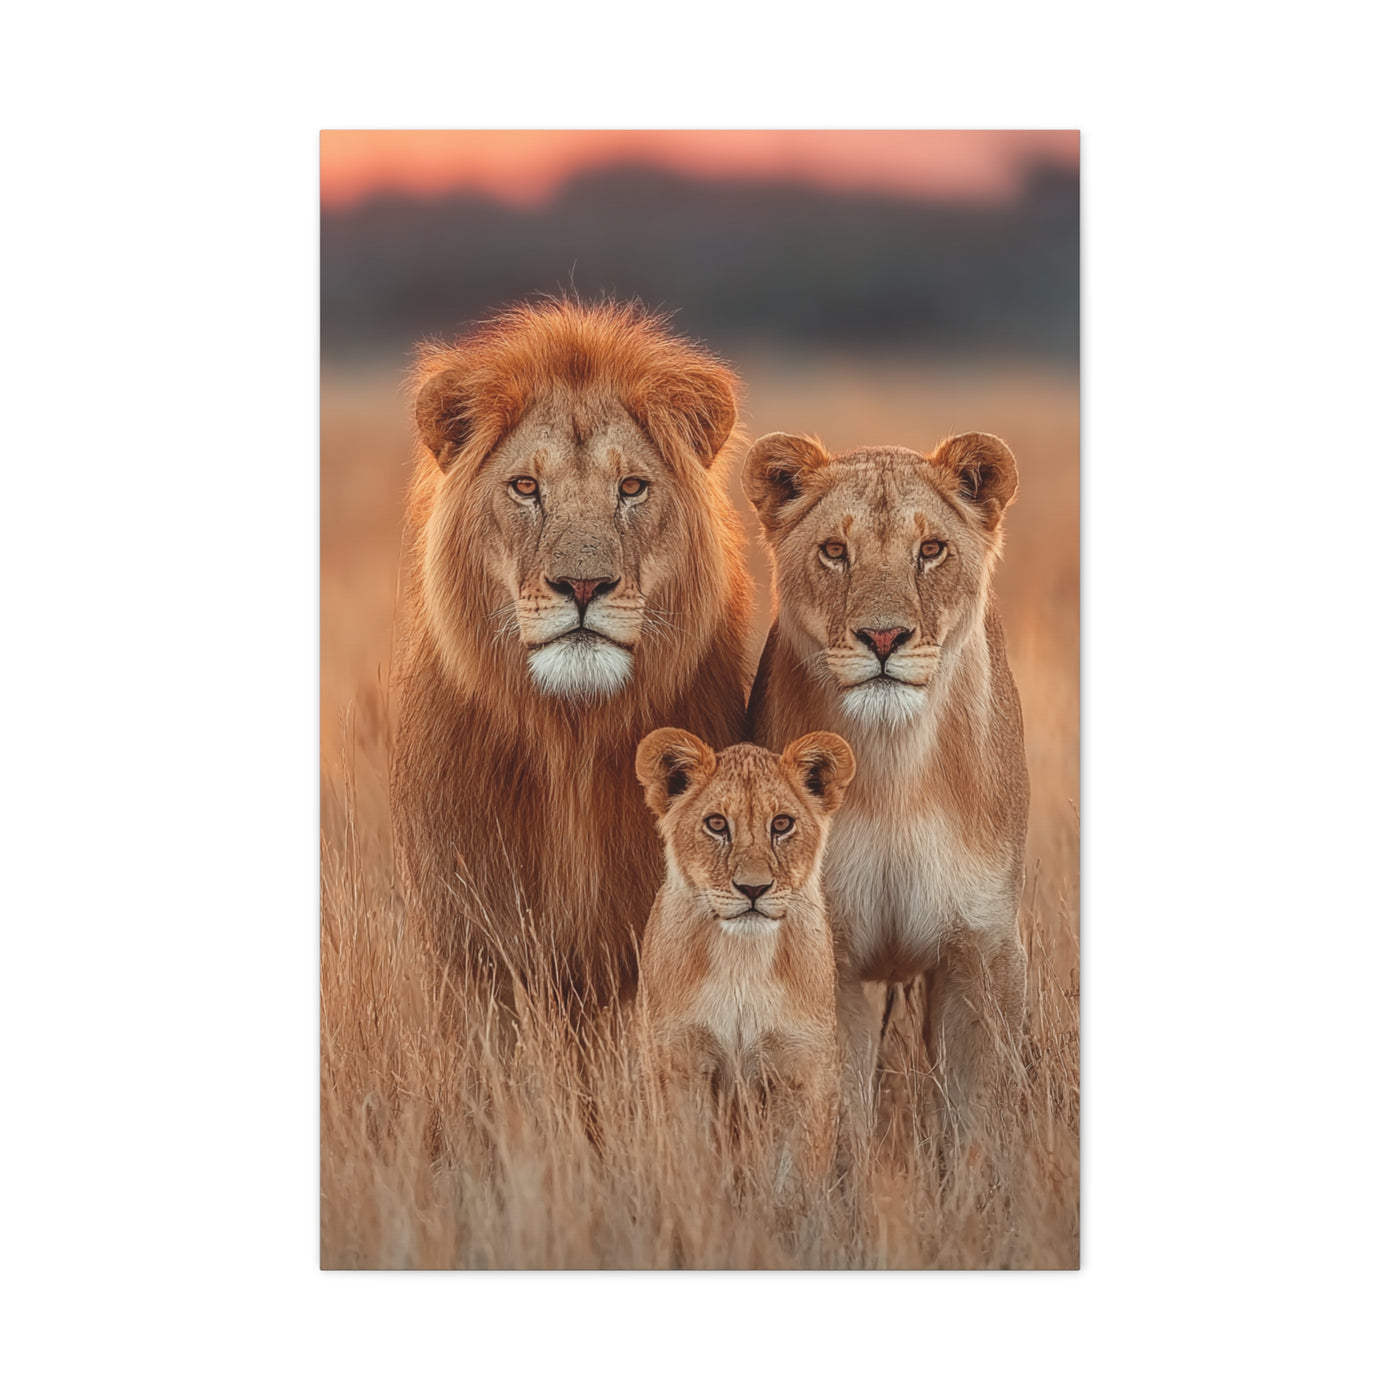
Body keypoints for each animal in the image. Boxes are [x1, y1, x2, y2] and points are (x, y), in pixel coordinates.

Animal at [634, 727, 854, 1186]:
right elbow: (689, 1164)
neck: (741, 959)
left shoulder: (801, 1069)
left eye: (782, 824)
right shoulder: (679, 1062)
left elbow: (794, 1177)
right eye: (717, 824)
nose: (753, 888)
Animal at [742, 430, 1029, 1146]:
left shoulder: (983, 951)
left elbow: (978, 1120)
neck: (894, 765)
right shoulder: (829, 954)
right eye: (834, 551)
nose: (882, 636)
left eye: (930, 550)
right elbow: (835, 1119)